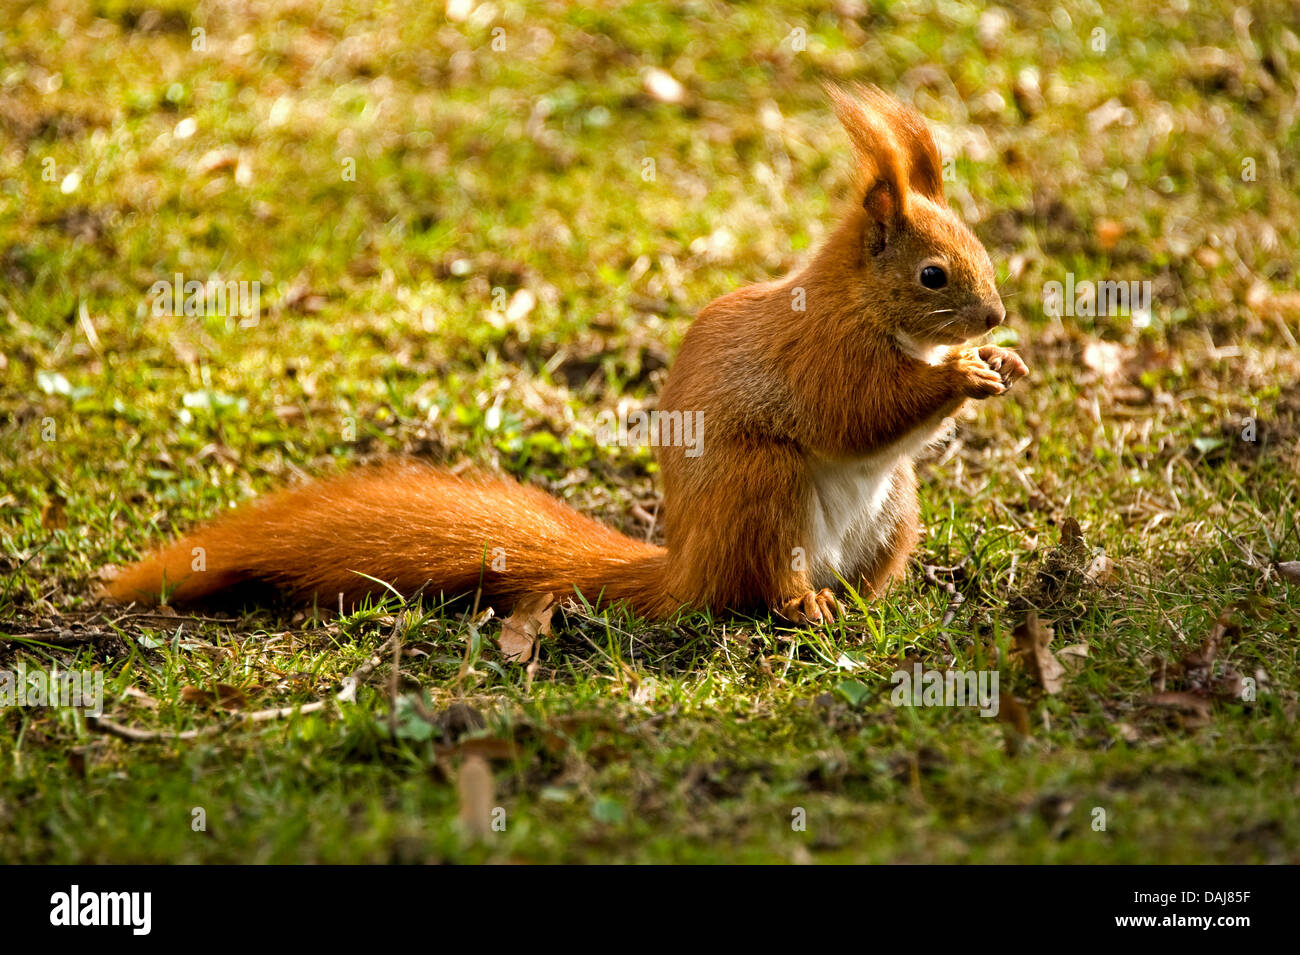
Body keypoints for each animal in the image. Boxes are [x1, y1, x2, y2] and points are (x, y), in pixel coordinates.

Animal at [103, 85, 1027, 625]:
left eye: (979, 249)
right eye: (933, 274)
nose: (995, 314)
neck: (866, 307)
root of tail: (686, 568)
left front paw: (1005, 363)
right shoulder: (821, 352)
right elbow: (861, 410)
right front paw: (964, 373)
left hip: (895, 511)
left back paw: (866, 602)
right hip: (763, 489)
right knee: (761, 588)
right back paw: (806, 605)